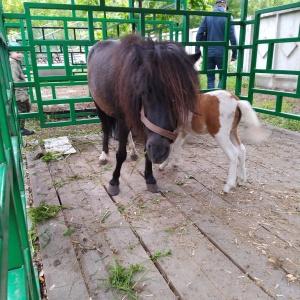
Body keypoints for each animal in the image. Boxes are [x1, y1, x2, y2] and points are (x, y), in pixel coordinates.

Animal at [87, 34, 199, 196]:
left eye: (182, 95)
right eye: (145, 91)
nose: (159, 152)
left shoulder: (145, 125)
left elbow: (146, 151)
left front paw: (150, 178)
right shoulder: (124, 119)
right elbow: (120, 154)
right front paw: (114, 181)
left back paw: (133, 152)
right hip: (99, 105)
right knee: (106, 129)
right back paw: (103, 155)